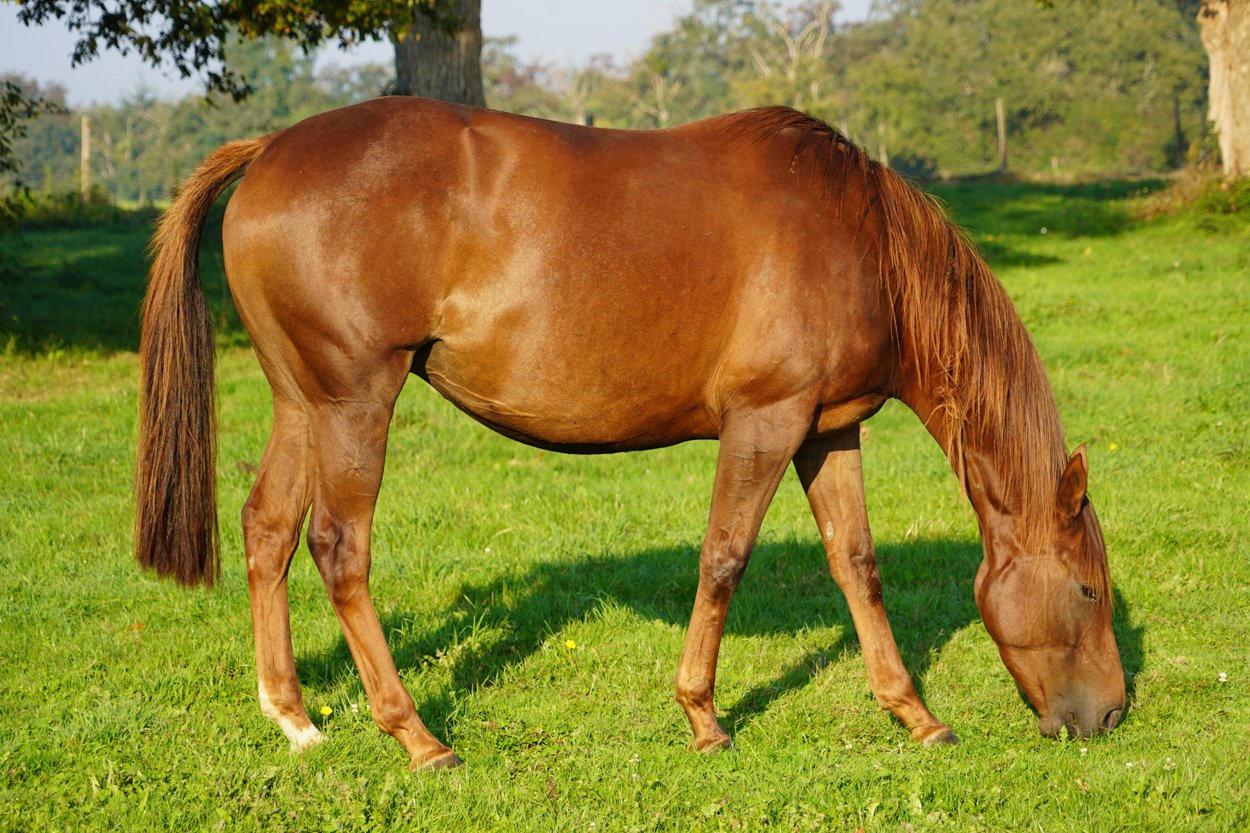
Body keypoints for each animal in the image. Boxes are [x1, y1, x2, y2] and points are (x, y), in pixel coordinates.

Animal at [135, 97, 1125, 770]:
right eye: (1086, 588)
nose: (1112, 714)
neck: (858, 235)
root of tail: (269, 149)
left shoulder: (826, 433)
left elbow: (857, 566)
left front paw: (912, 713)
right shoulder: (765, 422)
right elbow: (724, 558)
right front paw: (704, 716)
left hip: (302, 403)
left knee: (267, 529)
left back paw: (295, 716)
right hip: (354, 403)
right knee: (340, 550)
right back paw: (416, 734)